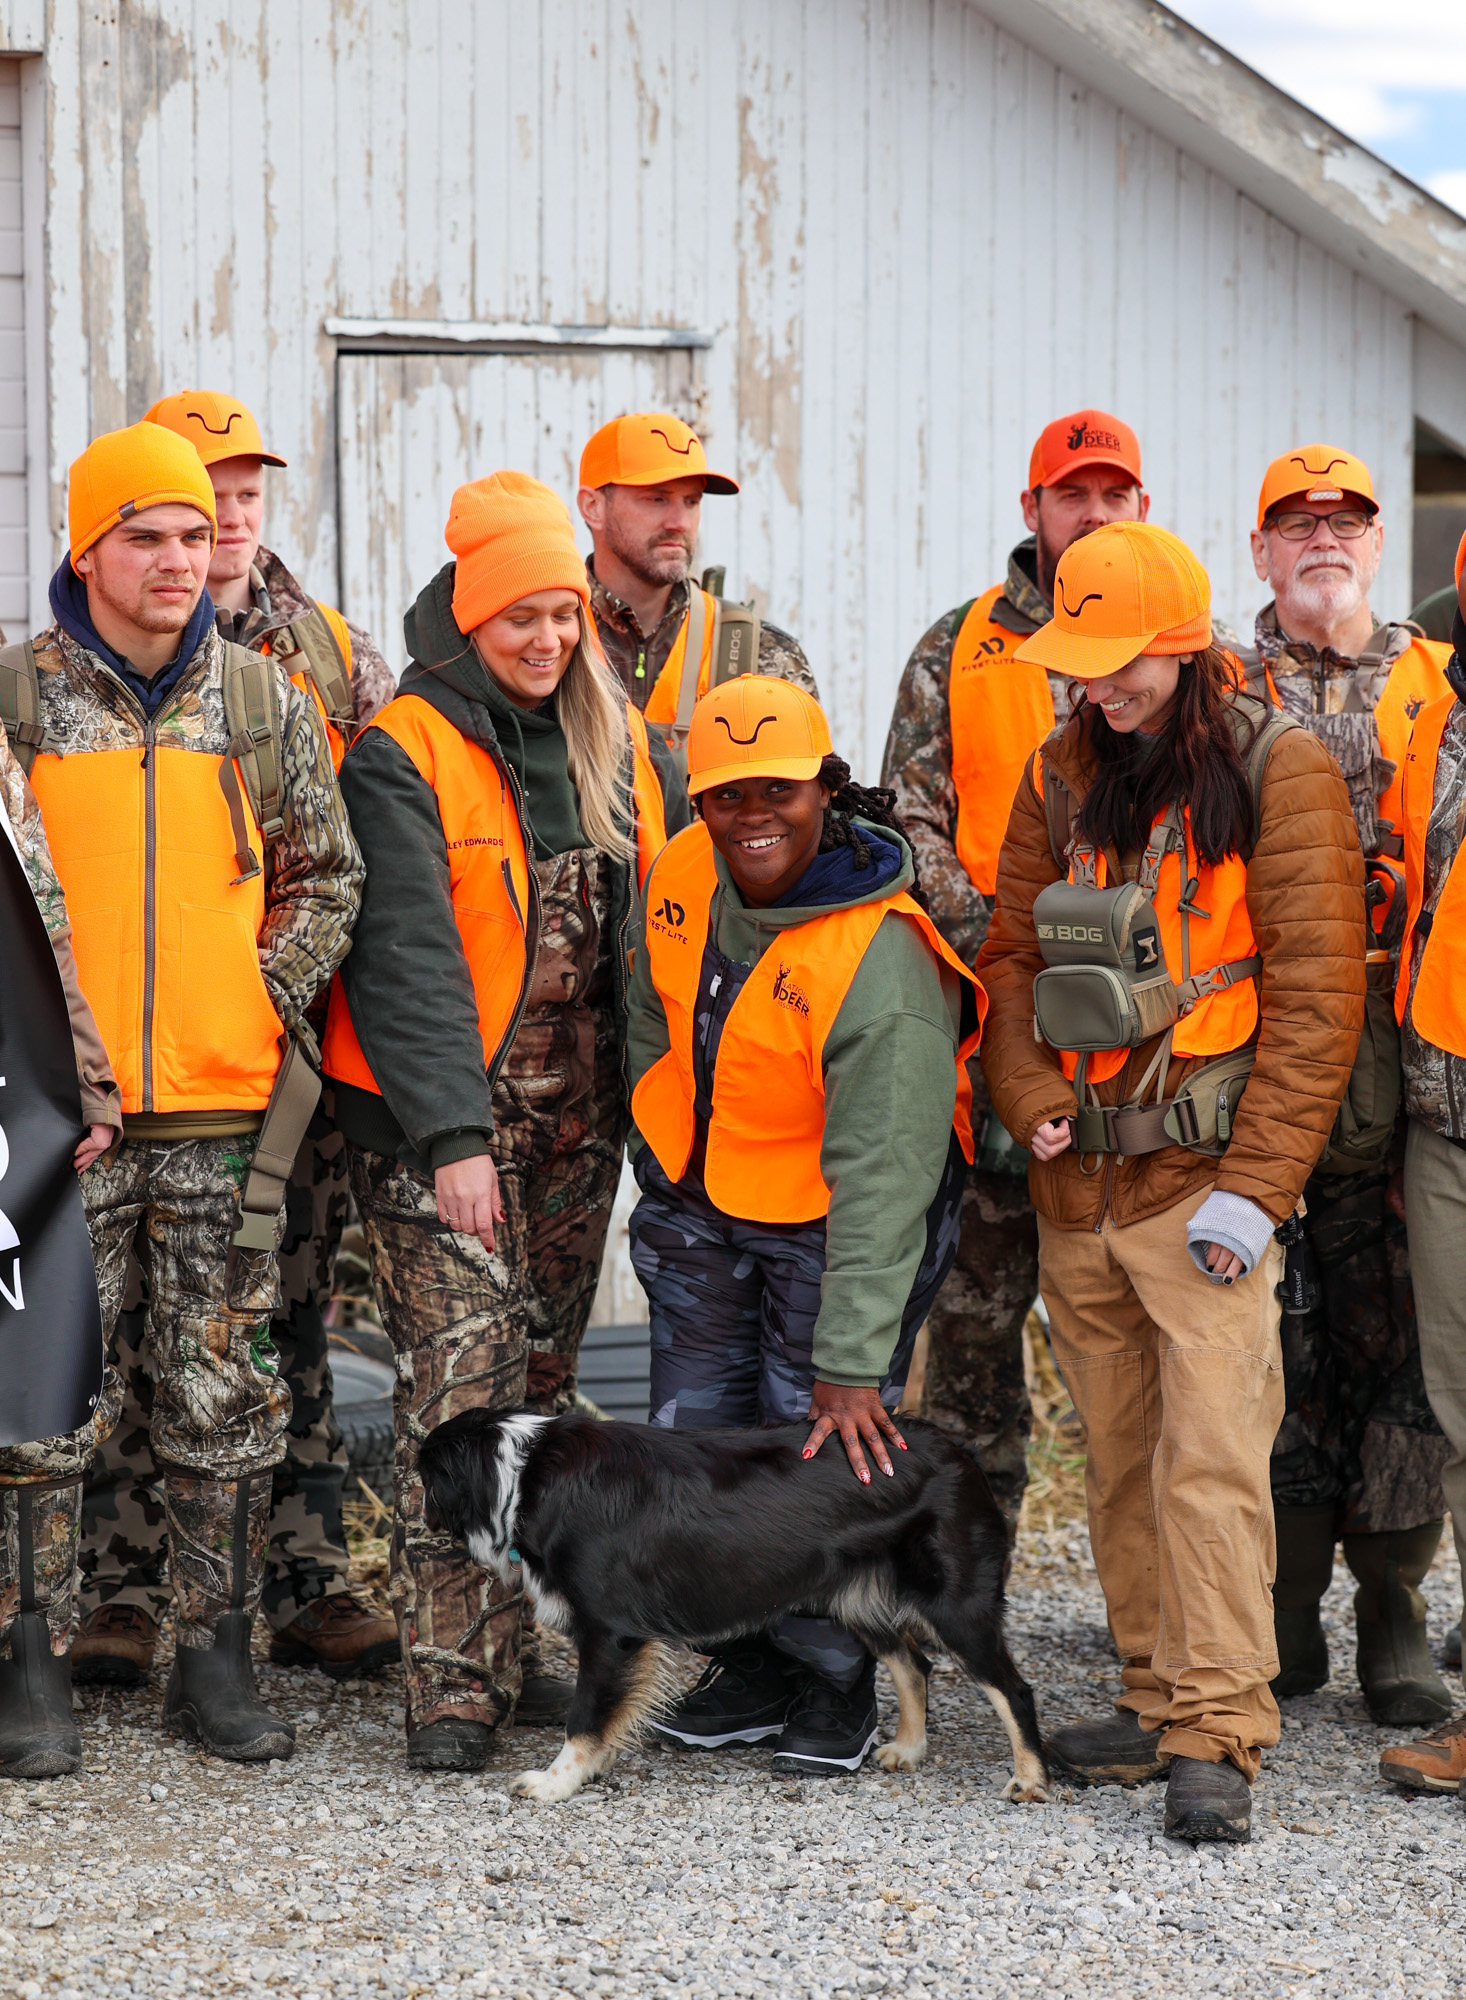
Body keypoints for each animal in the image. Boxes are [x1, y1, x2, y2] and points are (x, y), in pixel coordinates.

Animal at [418, 1400, 1048, 1808]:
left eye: (424, 1476)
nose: (412, 1528)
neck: (522, 1477)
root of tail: (960, 1452)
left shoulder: (611, 1631)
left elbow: (586, 1714)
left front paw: (558, 1781)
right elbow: (609, 1713)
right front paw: (593, 1767)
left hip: (956, 1606)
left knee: (1012, 1690)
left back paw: (1029, 1779)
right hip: (859, 1598)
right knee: (913, 1664)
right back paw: (910, 1749)